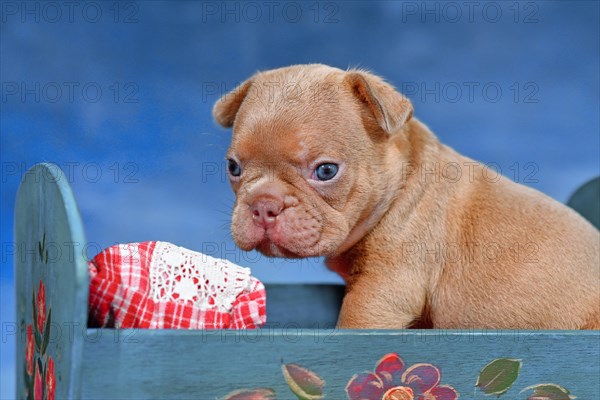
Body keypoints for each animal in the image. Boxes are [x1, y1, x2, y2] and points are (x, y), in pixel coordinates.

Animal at [212, 64, 600, 328]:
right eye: (233, 167)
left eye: (325, 171)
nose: (264, 205)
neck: (400, 183)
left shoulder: (381, 290)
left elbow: (353, 324)